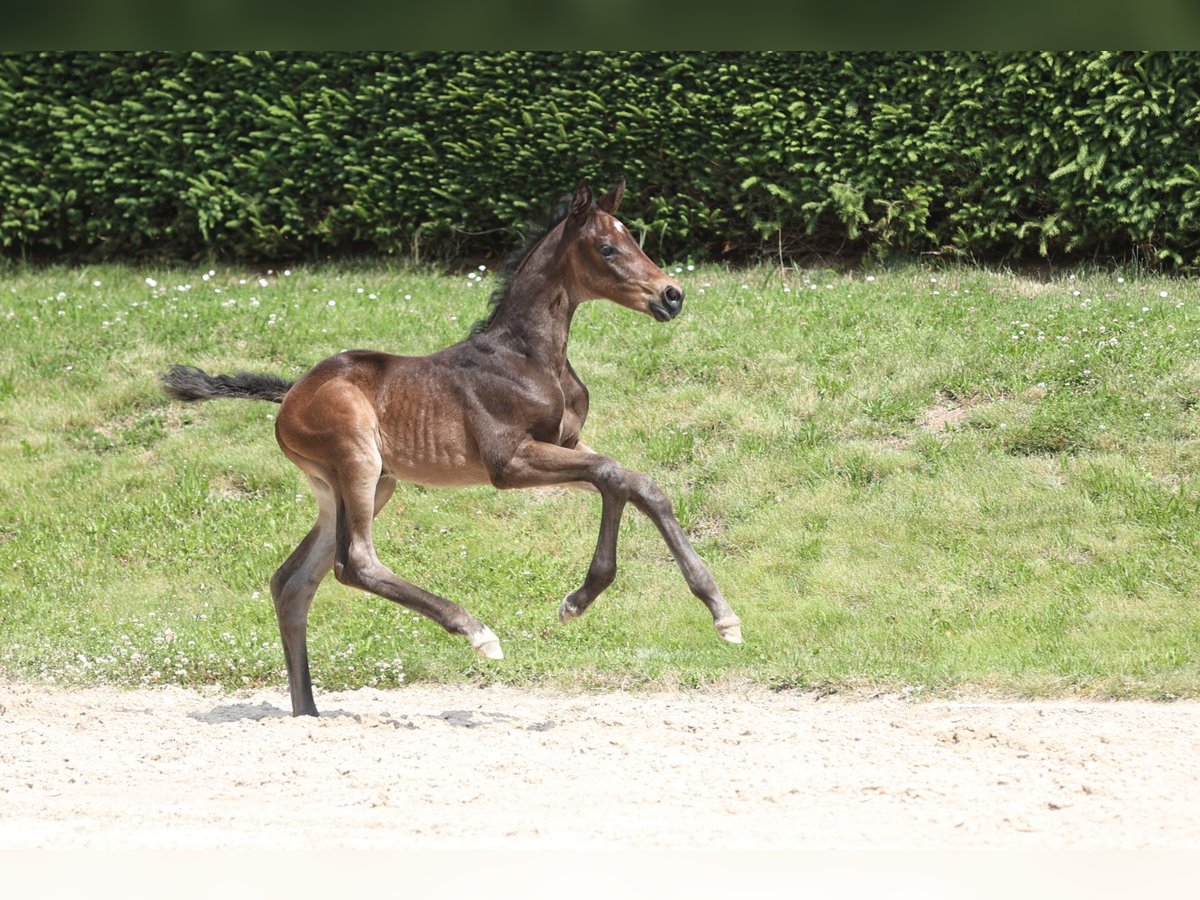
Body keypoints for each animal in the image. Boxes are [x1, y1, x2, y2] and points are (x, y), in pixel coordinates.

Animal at [162, 181, 739, 720]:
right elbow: (612, 473)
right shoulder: (508, 461)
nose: (672, 295)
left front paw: (722, 614)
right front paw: (578, 601)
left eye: (633, 239)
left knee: (293, 581)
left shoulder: (564, 443)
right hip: (356, 461)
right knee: (355, 562)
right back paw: (477, 631)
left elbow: (636, 481)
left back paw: (307, 712)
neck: (530, 356)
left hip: (359, 485)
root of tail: (290, 396)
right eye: (607, 248)